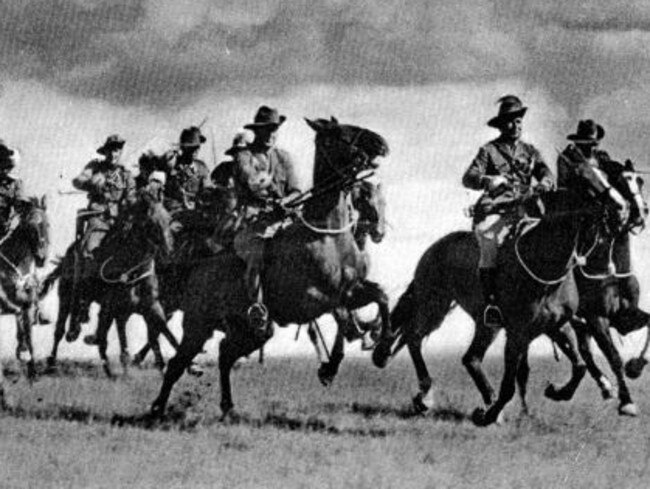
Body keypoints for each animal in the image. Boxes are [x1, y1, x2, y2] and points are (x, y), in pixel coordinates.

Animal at [0, 195, 50, 382]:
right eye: (30, 226)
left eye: (47, 224)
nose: (41, 258)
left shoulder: (28, 308)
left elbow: (29, 340)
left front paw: (33, 373)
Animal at [151, 115, 390, 416]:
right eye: (340, 133)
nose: (381, 142)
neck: (327, 236)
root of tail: (196, 271)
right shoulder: (311, 301)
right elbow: (343, 315)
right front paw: (332, 366)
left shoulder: (353, 289)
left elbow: (380, 295)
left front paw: (379, 351)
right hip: (198, 326)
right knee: (177, 364)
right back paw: (157, 408)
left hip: (253, 332)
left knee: (225, 354)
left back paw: (227, 406)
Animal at [372, 162, 624, 426]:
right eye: (586, 182)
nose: (621, 208)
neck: (543, 261)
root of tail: (433, 249)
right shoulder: (516, 333)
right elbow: (509, 386)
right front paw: (488, 415)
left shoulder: (557, 325)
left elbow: (580, 367)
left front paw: (557, 391)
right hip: (436, 306)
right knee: (416, 339)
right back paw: (429, 396)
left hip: (481, 323)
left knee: (468, 357)